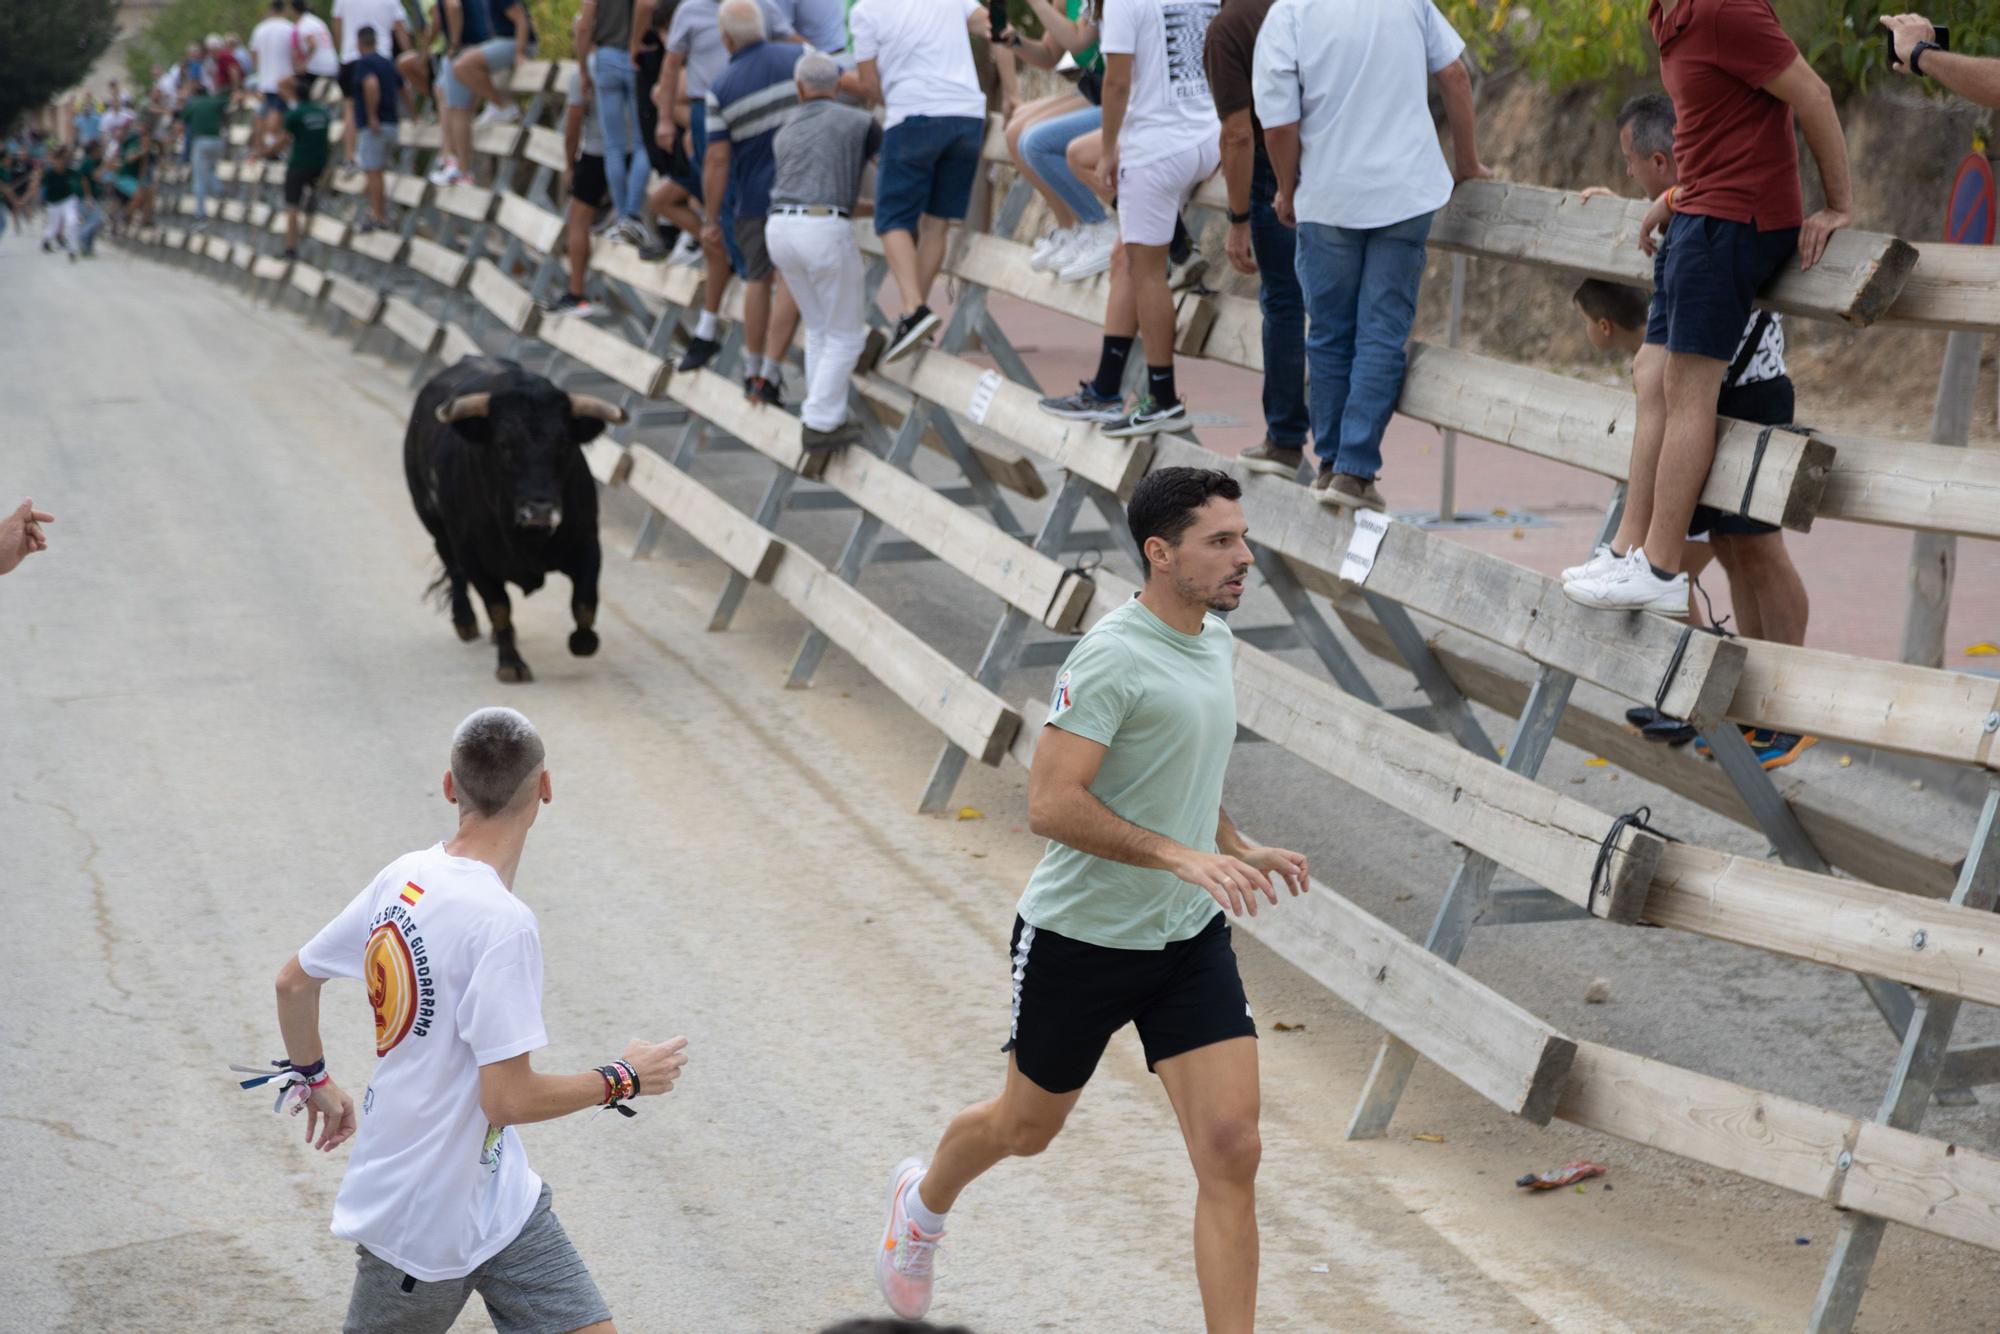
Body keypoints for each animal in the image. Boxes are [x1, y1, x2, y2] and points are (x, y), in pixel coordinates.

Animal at [404, 358, 624, 684]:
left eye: (564, 444)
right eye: (504, 445)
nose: (539, 511)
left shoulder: (587, 543)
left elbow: (585, 600)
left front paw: (583, 641)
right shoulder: (474, 558)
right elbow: (498, 608)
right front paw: (511, 664)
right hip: (435, 526)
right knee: (454, 570)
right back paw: (465, 622)